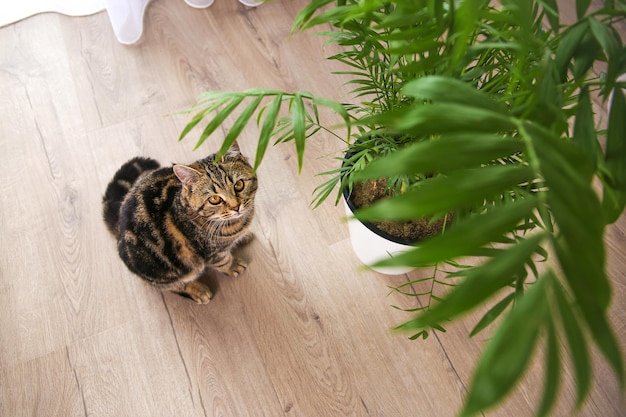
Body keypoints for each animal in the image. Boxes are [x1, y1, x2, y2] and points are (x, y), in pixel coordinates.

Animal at [102, 145, 256, 304]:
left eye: (239, 185)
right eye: (214, 199)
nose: (236, 207)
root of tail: (120, 225)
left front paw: (244, 236)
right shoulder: (211, 252)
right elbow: (223, 261)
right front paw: (233, 265)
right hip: (164, 271)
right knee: (172, 286)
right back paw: (197, 290)